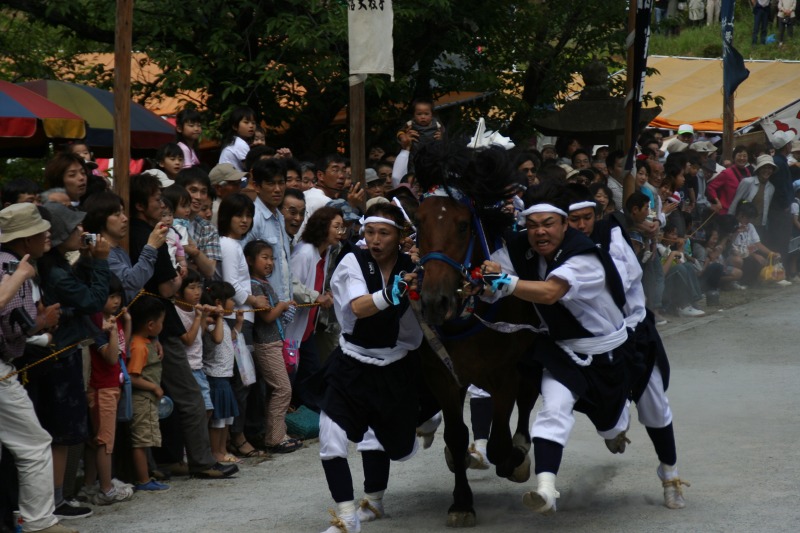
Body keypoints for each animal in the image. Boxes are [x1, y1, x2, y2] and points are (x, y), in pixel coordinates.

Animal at [412, 142, 544, 528]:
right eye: (419, 222)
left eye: (462, 225)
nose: (435, 302)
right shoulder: (440, 374)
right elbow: (457, 436)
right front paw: (461, 502)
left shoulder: (503, 374)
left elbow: (500, 442)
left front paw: (514, 460)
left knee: (527, 395)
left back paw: (520, 448)